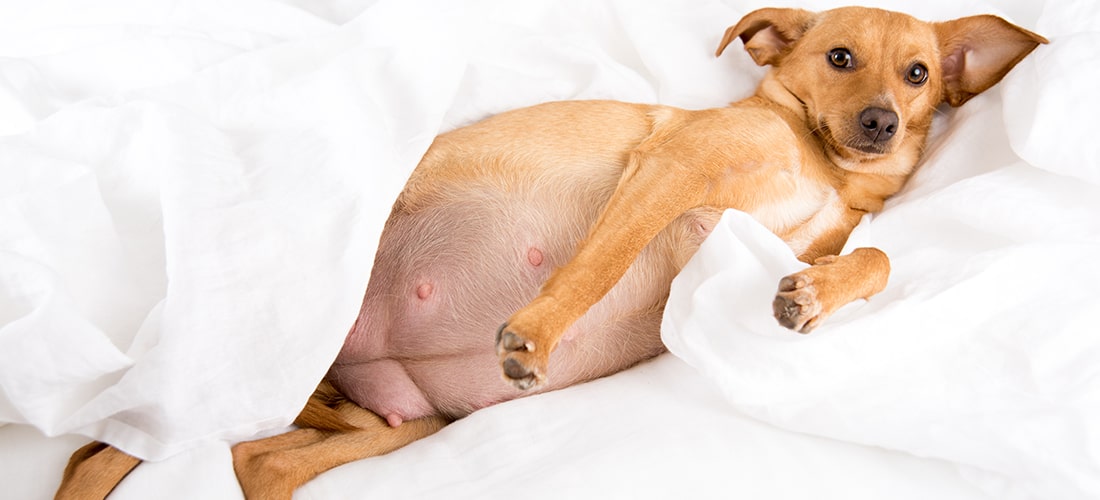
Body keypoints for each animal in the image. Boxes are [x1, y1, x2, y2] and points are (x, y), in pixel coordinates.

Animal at [53, 7, 1047, 500]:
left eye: (918, 75)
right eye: (839, 56)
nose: (881, 123)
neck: (819, 159)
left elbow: (875, 261)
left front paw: (811, 295)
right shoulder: (670, 174)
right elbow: (599, 264)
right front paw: (533, 336)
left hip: (392, 421)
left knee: (250, 463)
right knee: (101, 457)